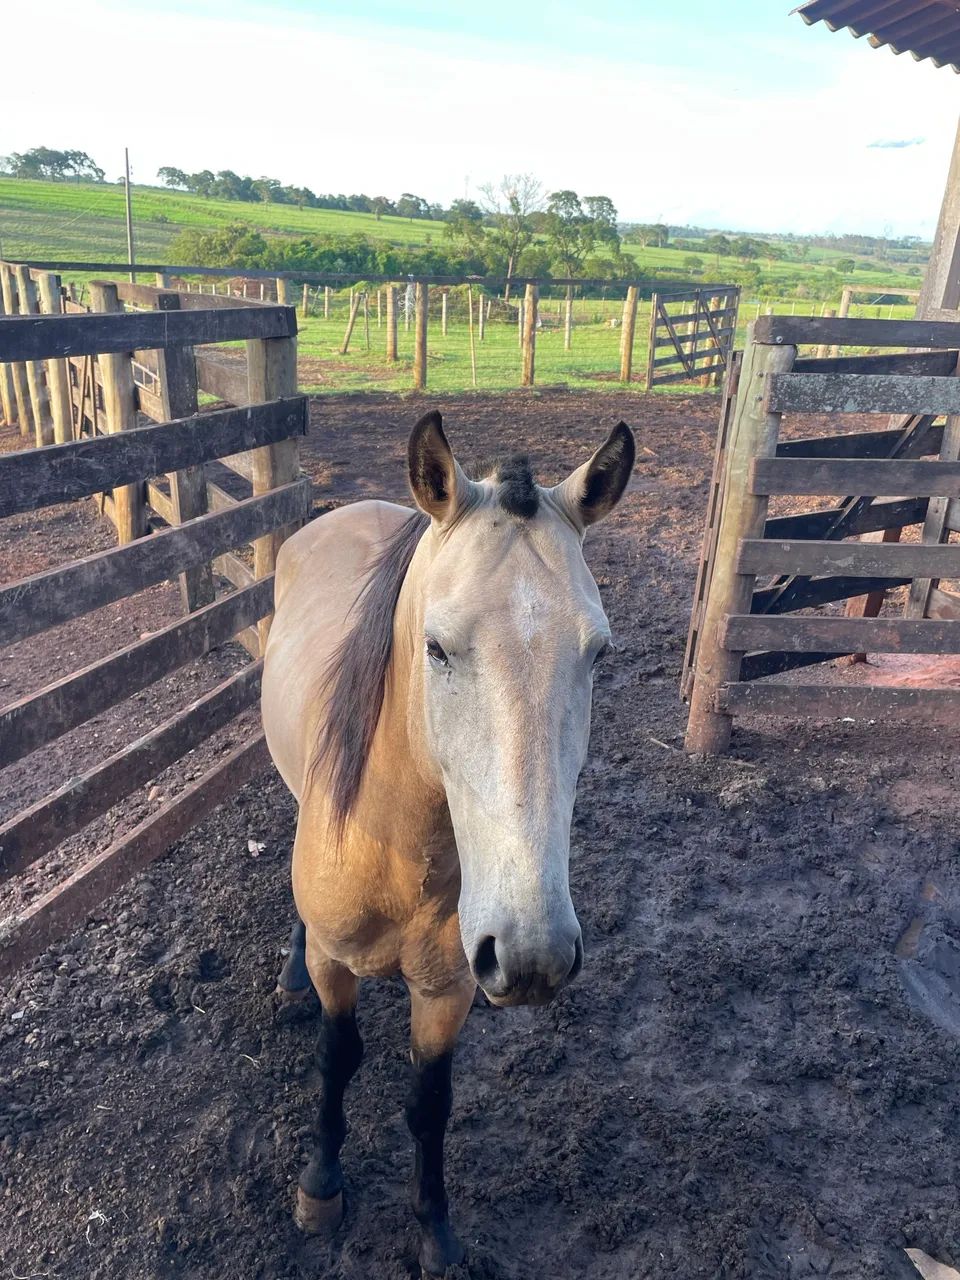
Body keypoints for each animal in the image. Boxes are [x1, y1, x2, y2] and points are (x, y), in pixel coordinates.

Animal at [261, 410, 635, 1276]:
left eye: (598, 652)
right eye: (435, 647)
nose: (533, 953)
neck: (395, 847)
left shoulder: (450, 988)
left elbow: (430, 1103)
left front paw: (434, 1230)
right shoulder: (337, 964)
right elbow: (337, 1059)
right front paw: (320, 1188)